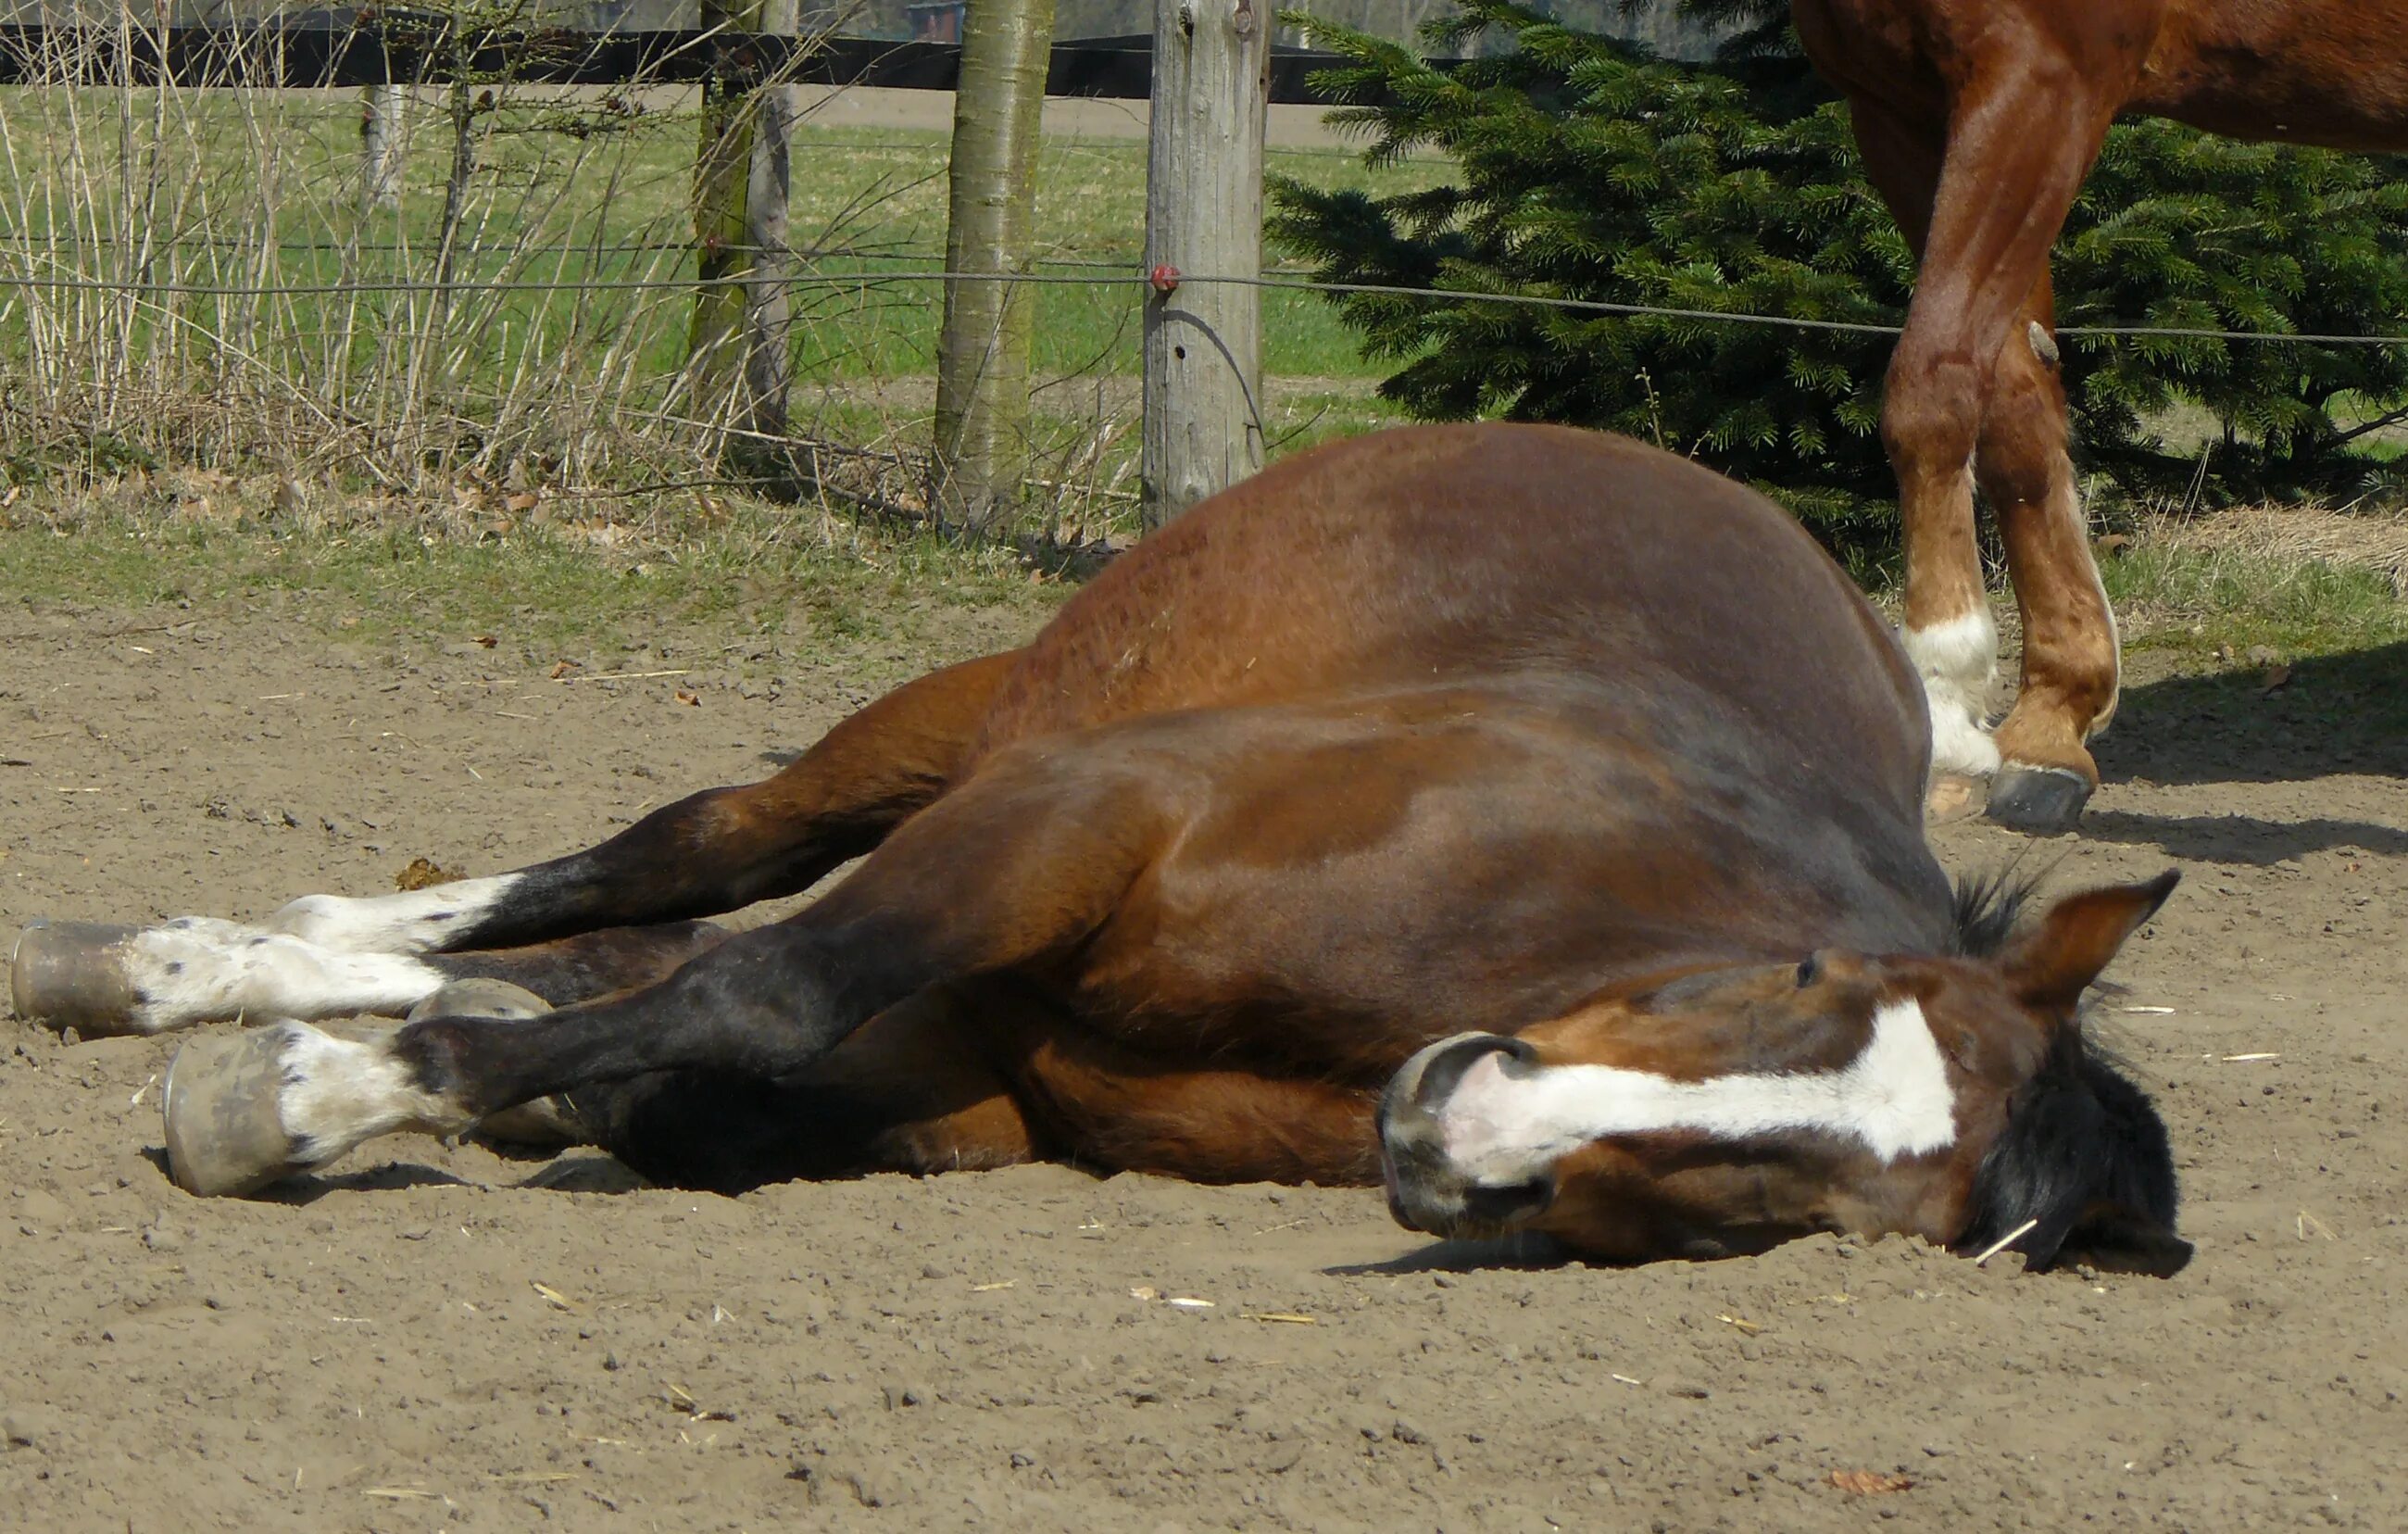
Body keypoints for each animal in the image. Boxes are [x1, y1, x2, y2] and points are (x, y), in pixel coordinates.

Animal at [9, 421, 2186, 1271]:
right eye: (1801, 982)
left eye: (1789, 1203)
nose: (1463, 1114)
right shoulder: (1078, 819)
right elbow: (751, 978)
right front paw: (305, 1093)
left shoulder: (977, 1070)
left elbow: (698, 1050)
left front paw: (409, 1071)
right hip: (963, 720)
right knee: (678, 862)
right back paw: (190, 962)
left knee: (623, 947)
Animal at [1800, 0, 2398, 833]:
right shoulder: (1897, 108)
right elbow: (2014, 407)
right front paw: (2052, 720)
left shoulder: (2038, 79)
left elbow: (1932, 386)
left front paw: (1945, 710)